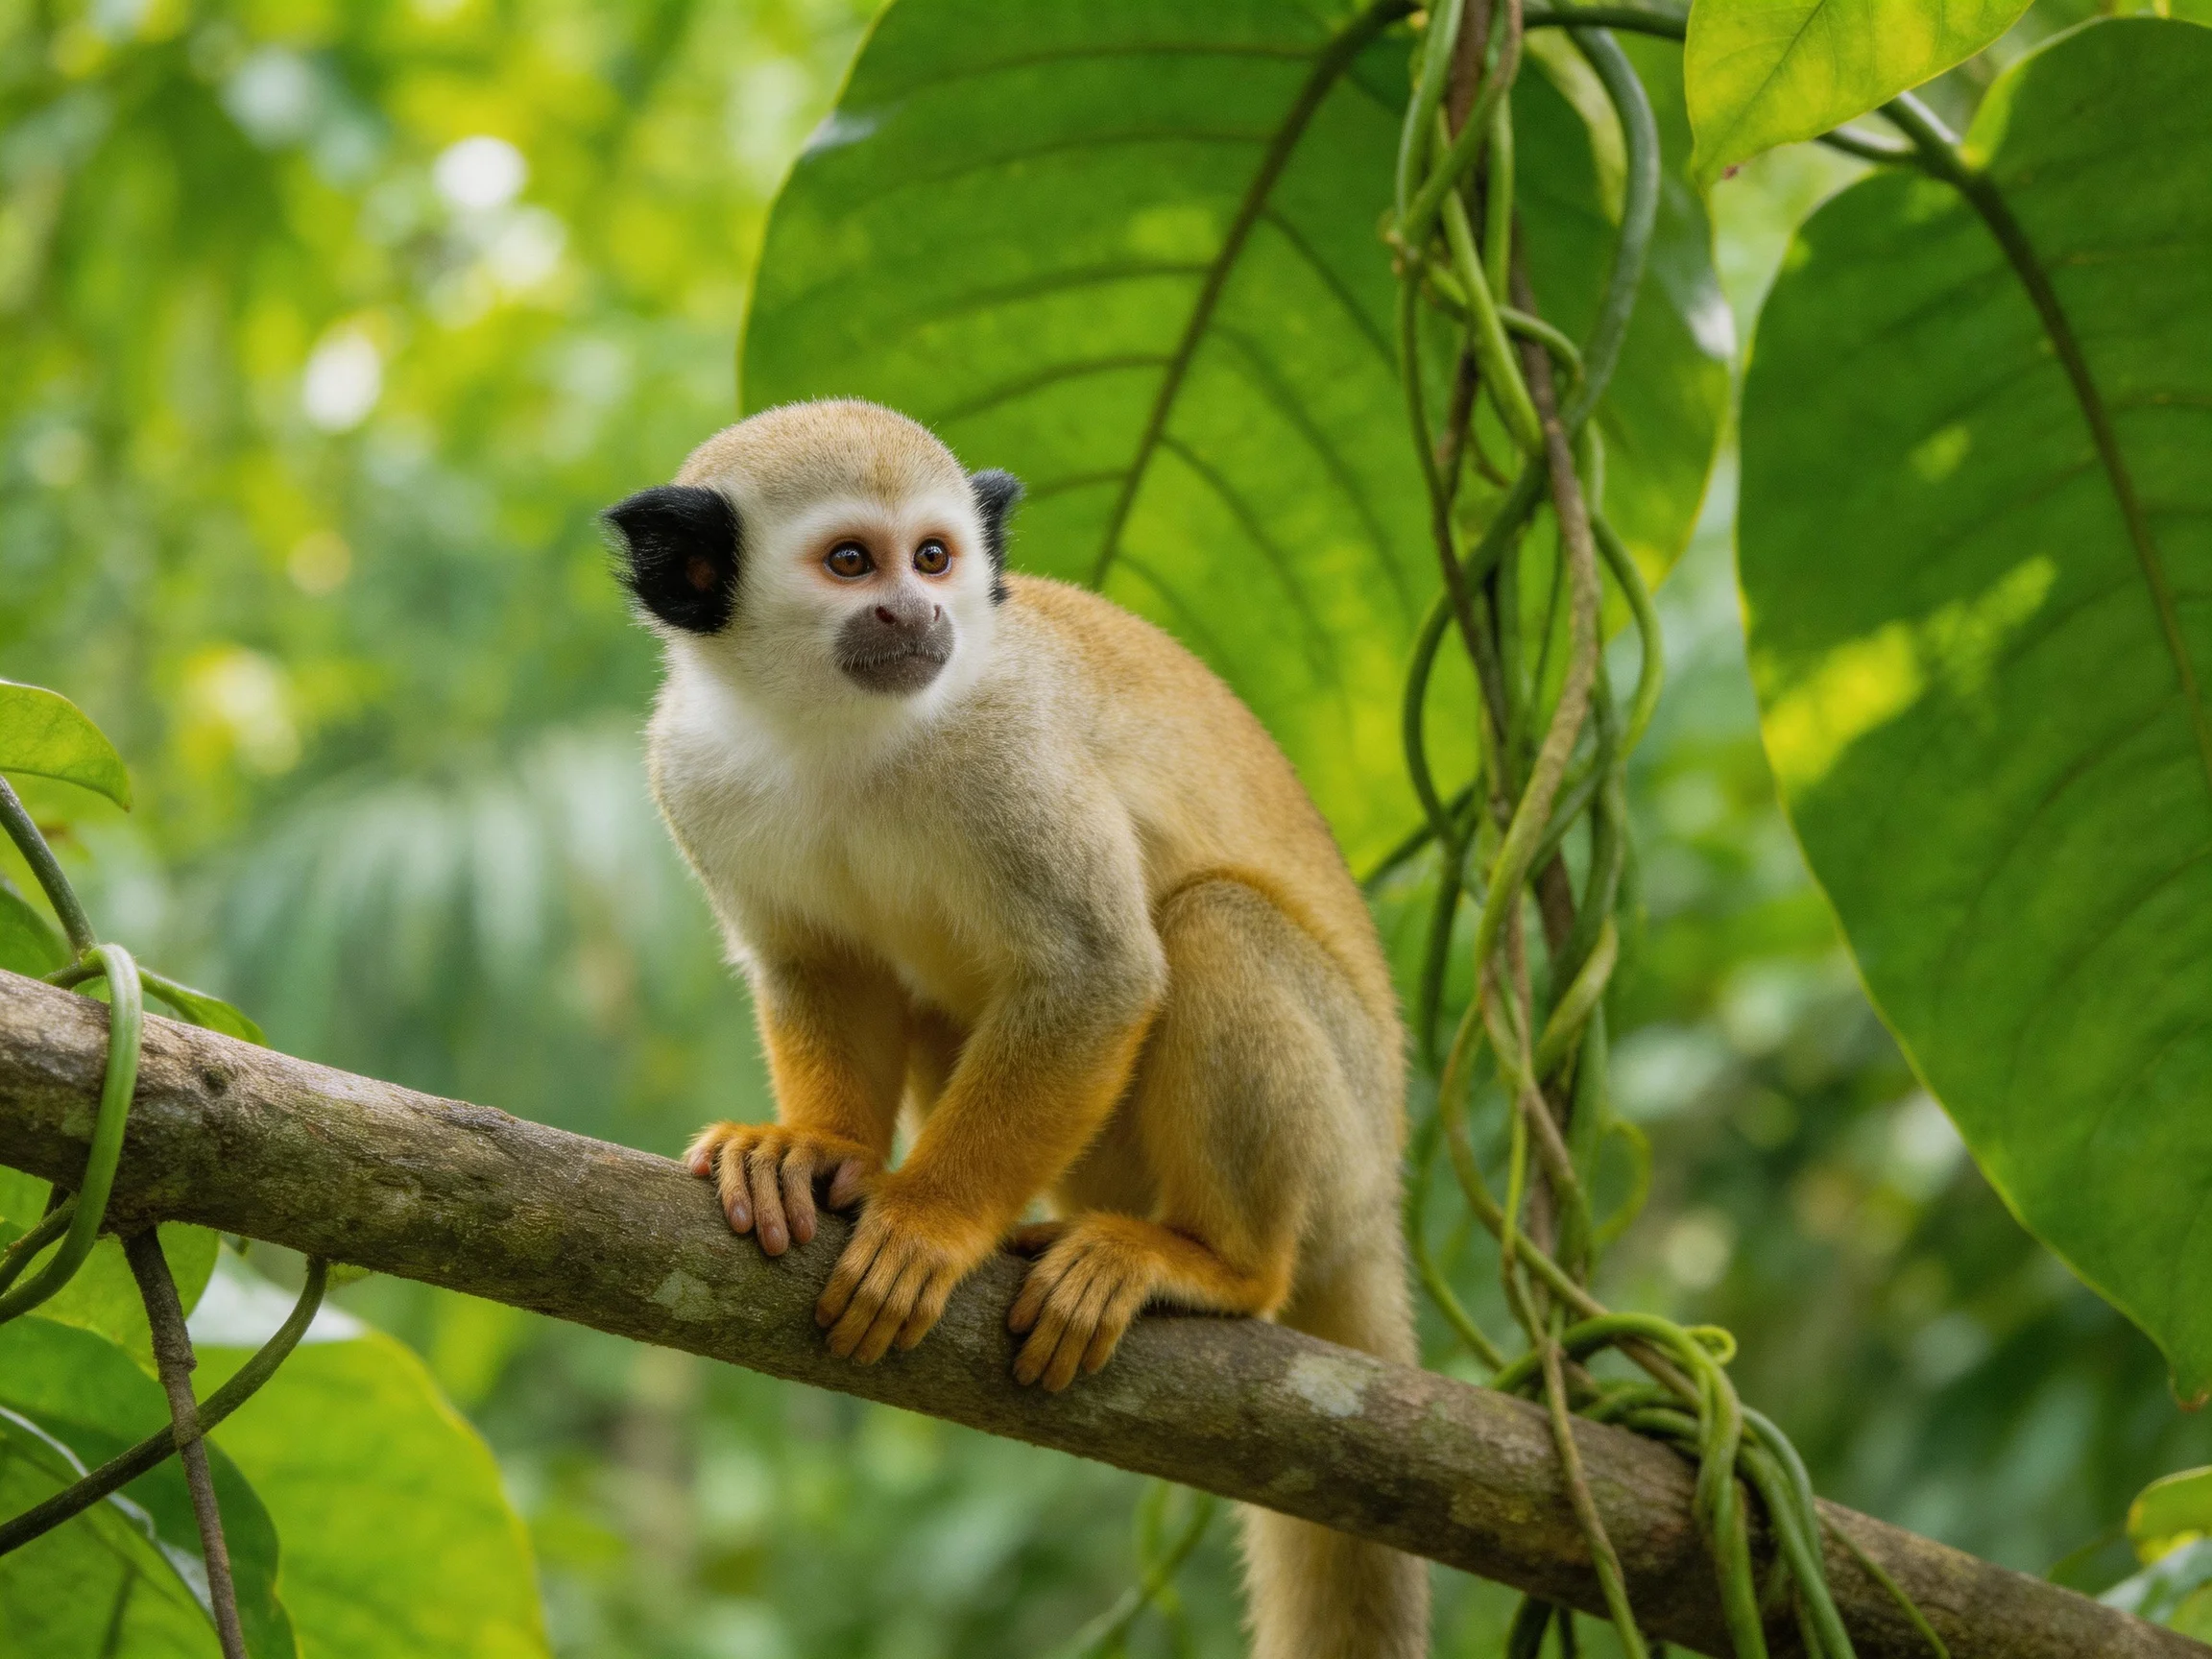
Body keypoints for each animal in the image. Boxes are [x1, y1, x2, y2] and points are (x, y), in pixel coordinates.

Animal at [604, 399, 1426, 1659]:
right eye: (854, 563)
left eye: (935, 557)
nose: (918, 613)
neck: (838, 727)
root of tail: (1382, 1196)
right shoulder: (691, 767)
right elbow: (818, 964)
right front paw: (818, 1152)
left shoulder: (1010, 752)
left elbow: (1097, 973)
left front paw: (931, 1223)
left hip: (1341, 1140)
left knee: (1210, 923)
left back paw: (1217, 1265)